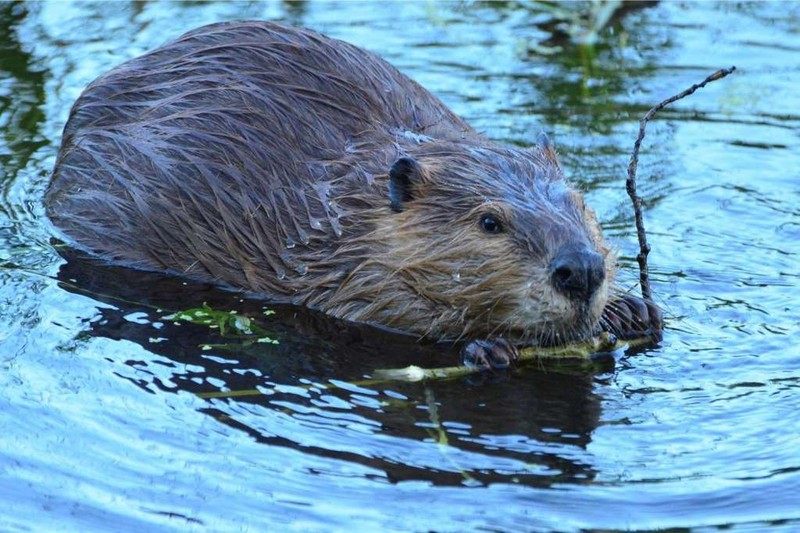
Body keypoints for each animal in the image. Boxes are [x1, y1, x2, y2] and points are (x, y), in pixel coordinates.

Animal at [43, 22, 660, 368]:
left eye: (581, 205)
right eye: (490, 222)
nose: (581, 271)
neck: (351, 215)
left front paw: (630, 309)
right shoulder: (348, 271)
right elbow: (380, 311)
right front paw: (489, 347)